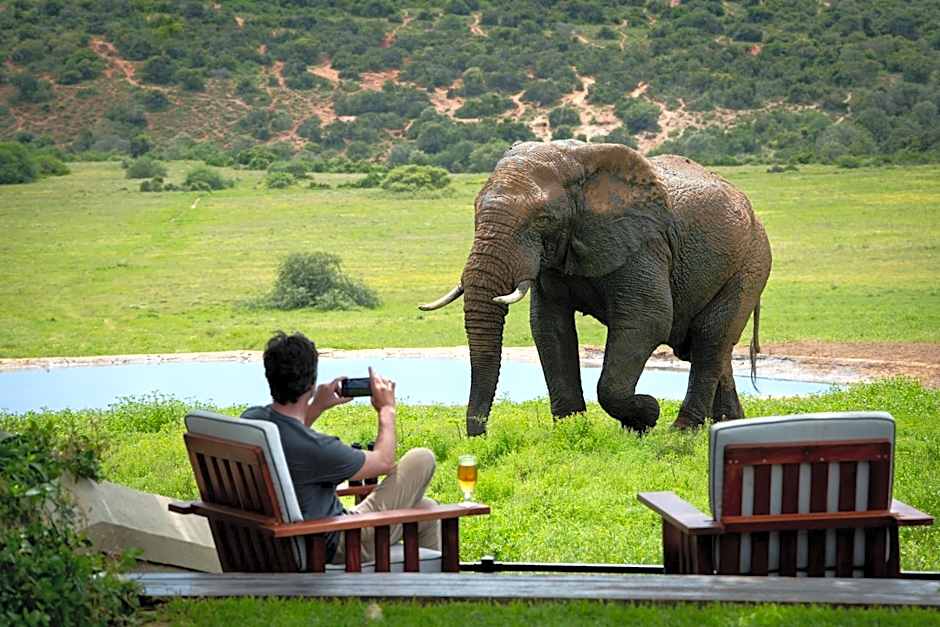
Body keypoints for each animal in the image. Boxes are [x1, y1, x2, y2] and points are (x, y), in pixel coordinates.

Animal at [420, 140, 772, 436]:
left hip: (750, 264)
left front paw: (645, 415)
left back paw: (681, 431)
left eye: (543, 219)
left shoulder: (643, 244)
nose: (479, 436)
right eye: (475, 211)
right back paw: (730, 424)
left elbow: (648, 321)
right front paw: (571, 430)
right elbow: (549, 328)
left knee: (710, 339)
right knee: (705, 347)